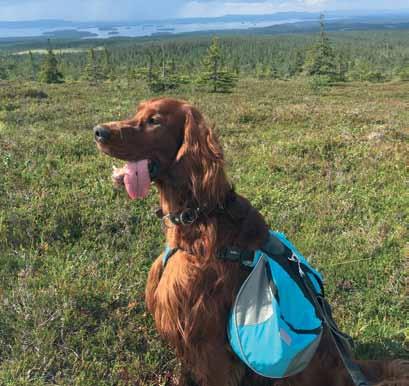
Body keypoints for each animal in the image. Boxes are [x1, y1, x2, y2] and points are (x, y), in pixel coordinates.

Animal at [93, 98, 408, 384]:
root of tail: (347, 369)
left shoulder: (208, 343)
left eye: (154, 121)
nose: (98, 131)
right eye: (137, 112)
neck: (199, 216)